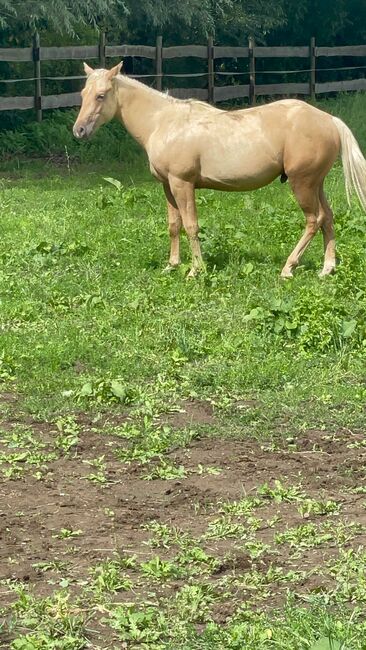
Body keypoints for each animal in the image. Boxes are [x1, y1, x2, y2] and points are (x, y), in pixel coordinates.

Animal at [73, 63, 366, 278]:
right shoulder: (167, 186)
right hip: (316, 184)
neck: (163, 122)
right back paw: (327, 269)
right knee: (328, 218)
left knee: (313, 220)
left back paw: (288, 268)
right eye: (83, 94)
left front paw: (195, 270)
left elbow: (191, 225)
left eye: (101, 95)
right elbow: (174, 225)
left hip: (302, 184)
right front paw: (172, 265)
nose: (79, 130)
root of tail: (329, 120)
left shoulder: (182, 183)